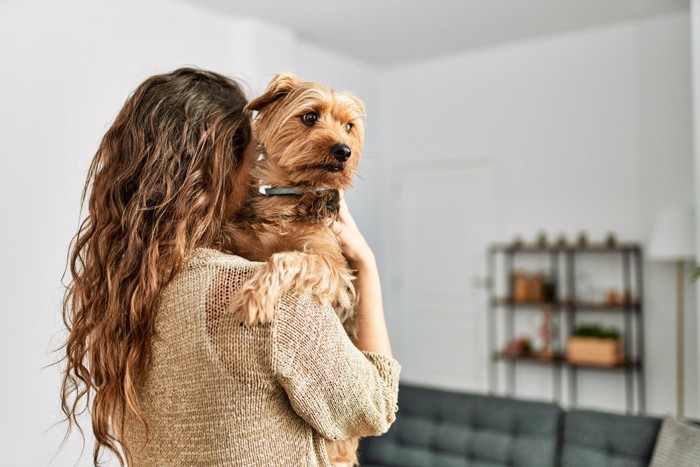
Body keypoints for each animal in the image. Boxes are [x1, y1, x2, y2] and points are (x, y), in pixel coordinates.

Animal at [226, 73, 366, 467]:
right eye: (309, 117)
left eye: (349, 127)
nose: (344, 151)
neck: (288, 196)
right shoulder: (240, 240)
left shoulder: (333, 266)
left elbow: (286, 258)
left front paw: (254, 297)